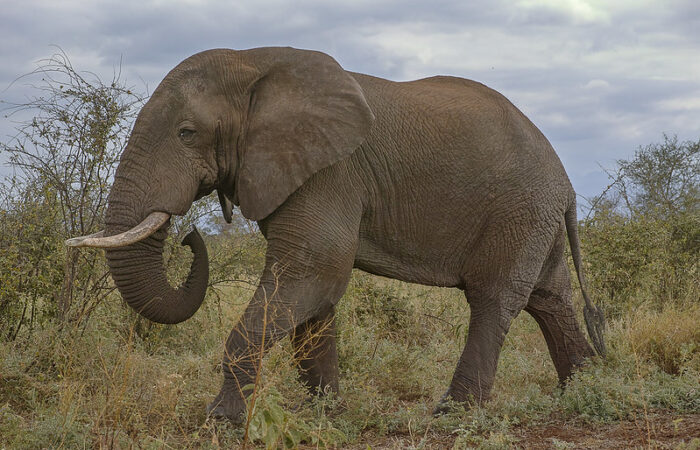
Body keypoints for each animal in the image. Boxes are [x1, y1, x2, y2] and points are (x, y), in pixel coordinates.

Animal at [67, 46, 606, 422]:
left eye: (186, 134)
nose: (189, 235)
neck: (253, 63)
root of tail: (566, 183)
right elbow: (314, 291)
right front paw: (324, 412)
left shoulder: (330, 173)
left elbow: (312, 272)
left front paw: (220, 420)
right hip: (534, 218)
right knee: (549, 297)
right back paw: (584, 393)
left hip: (520, 210)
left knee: (495, 299)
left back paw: (451, 415)